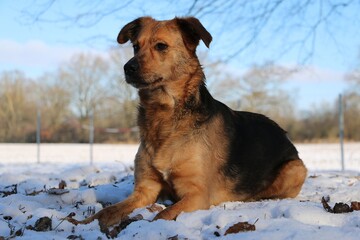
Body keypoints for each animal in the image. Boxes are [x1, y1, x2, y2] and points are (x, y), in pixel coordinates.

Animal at [71, 16, 306, 227]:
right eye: (135, 46)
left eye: (161, 46)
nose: (127, 68)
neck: (164, 115)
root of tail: (283, 133)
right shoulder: (145, 190)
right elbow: (106, 212)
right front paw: (81, 222)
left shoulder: (196, 195)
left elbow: (162, 216)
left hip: (295, 168)